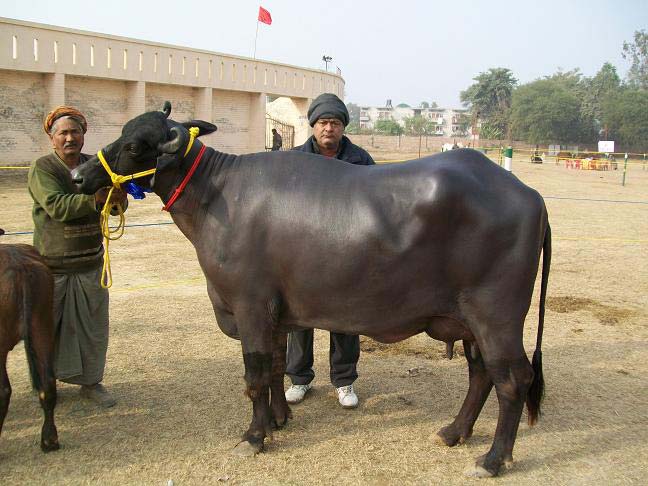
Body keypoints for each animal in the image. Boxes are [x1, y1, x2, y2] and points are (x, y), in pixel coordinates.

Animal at [74, 104, 552, 476]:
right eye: (122, 133)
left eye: (135, 145)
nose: (79, 174)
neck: (218, 196)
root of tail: (528, 194)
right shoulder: (276, 315)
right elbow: (274, 368)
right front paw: (278, 419)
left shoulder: (249, 307)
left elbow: (253, 376)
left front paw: (253, 436)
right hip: (469, 323)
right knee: (481, 374)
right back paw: (454, 432)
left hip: (496, 319)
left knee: (513, 380)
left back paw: (492, 459)